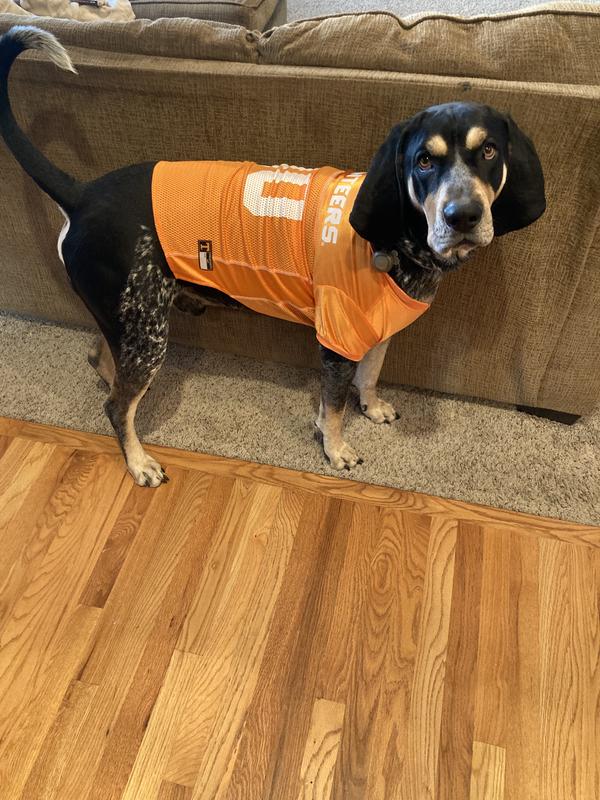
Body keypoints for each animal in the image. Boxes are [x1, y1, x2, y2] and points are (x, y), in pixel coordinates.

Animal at [0, 26, 544, 488]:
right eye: (424, 161)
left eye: (489, 151)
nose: (462, 216)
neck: (394, 241)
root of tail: (82, 193)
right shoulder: (336, 341)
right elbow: (333, 406)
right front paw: (336, 448)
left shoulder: (377, 330)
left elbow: (369, 377)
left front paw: (372, 407)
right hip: (146, 330)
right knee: (115, 408)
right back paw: (138, 461)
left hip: (125, 320)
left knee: (102, 362)